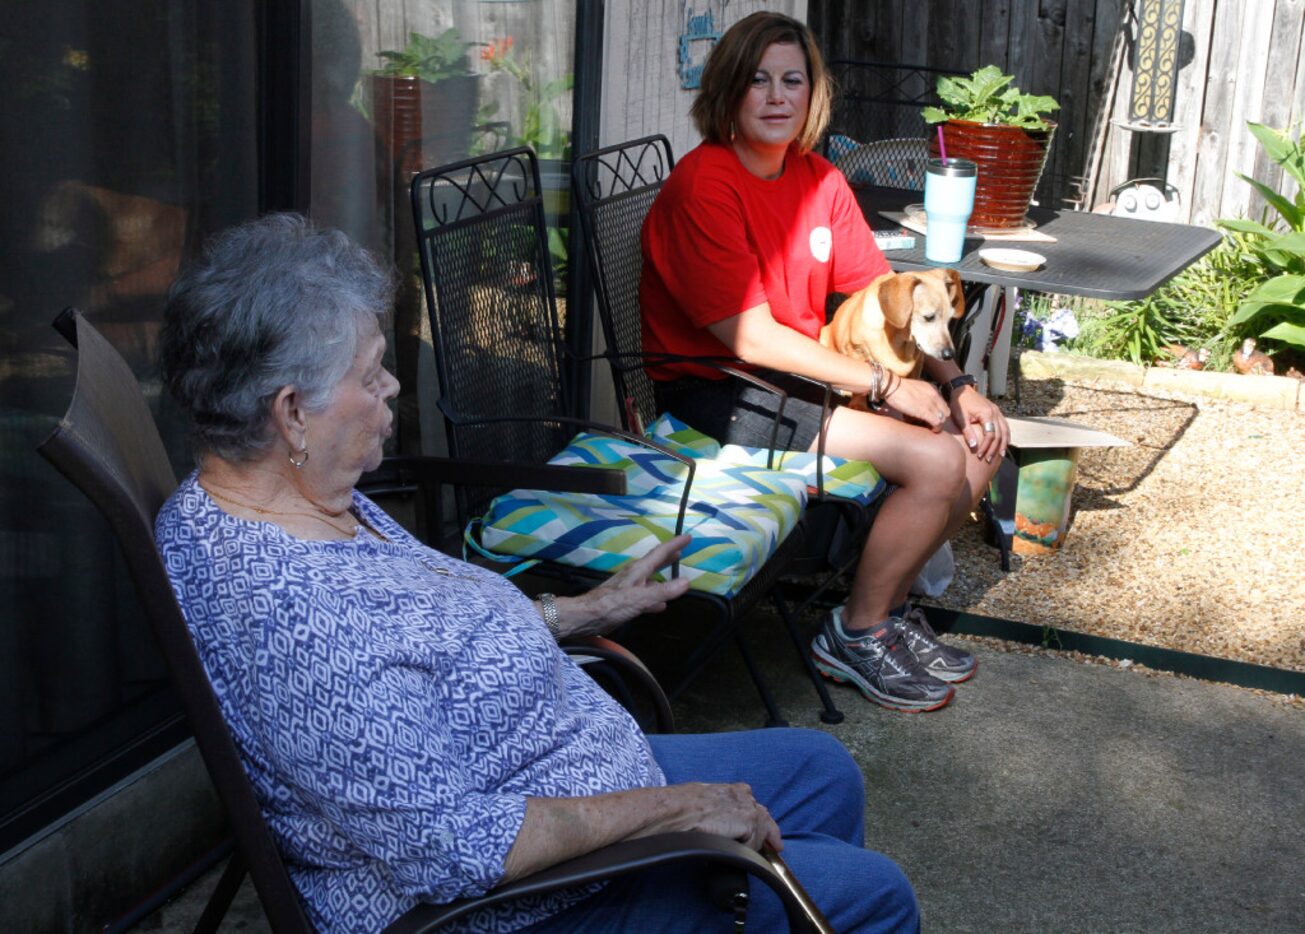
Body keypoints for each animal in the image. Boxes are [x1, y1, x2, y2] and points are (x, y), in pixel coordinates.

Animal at [819, 271, 965, 409]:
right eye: (928, 317)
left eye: (949, 319)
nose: (949, 354)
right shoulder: (856, 350)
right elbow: (860, 387)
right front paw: (858, 405)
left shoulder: (918, 363)